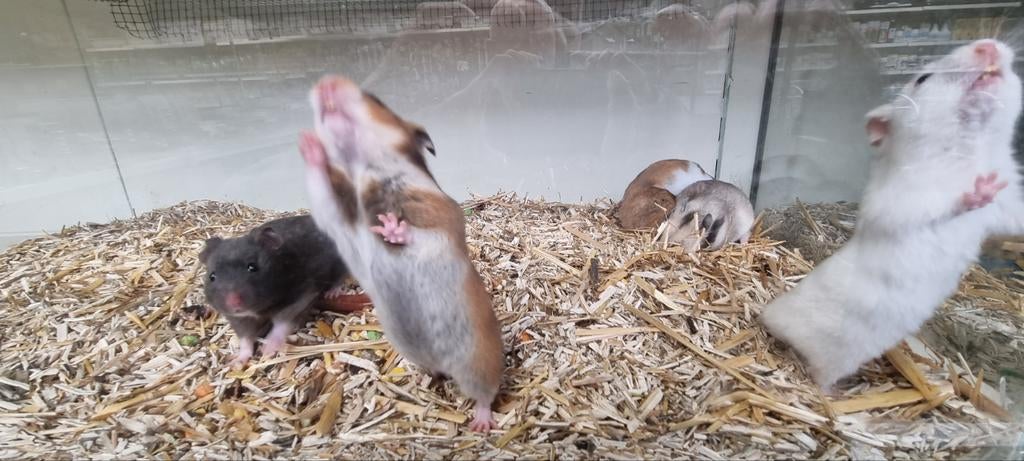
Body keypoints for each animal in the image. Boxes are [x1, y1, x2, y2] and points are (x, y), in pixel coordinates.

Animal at [199, 215, 350, 368]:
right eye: (212, 277)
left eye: (252, 267)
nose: (233, 302)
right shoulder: (239, 319)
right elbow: (245, 338)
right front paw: (237, 362)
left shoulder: (300, 299)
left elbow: (281, 324)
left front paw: (266, 351)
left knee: (340, 277)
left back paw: (332, 293)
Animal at [297, 75, 504, 432]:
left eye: (375, 98)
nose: (325, 81)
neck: (362, 170)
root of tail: (441, 360)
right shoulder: (336, 220)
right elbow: (323, 191)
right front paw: (309, 143)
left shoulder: (443, 217)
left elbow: (417, 232)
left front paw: (390, 227)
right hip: (416, 352)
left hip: (478, 361)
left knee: (485, 395)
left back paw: (481, 424)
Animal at [760, 39, 1024, 391]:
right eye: (923, 78)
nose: (988, 45)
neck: (971, 149)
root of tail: (771, 313)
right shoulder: (901, 199)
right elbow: (938, 206)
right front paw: (980, 189)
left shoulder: (1008, 206)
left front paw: (991, 185)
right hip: (831, 354)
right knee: (819, 374)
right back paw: (833, 394)